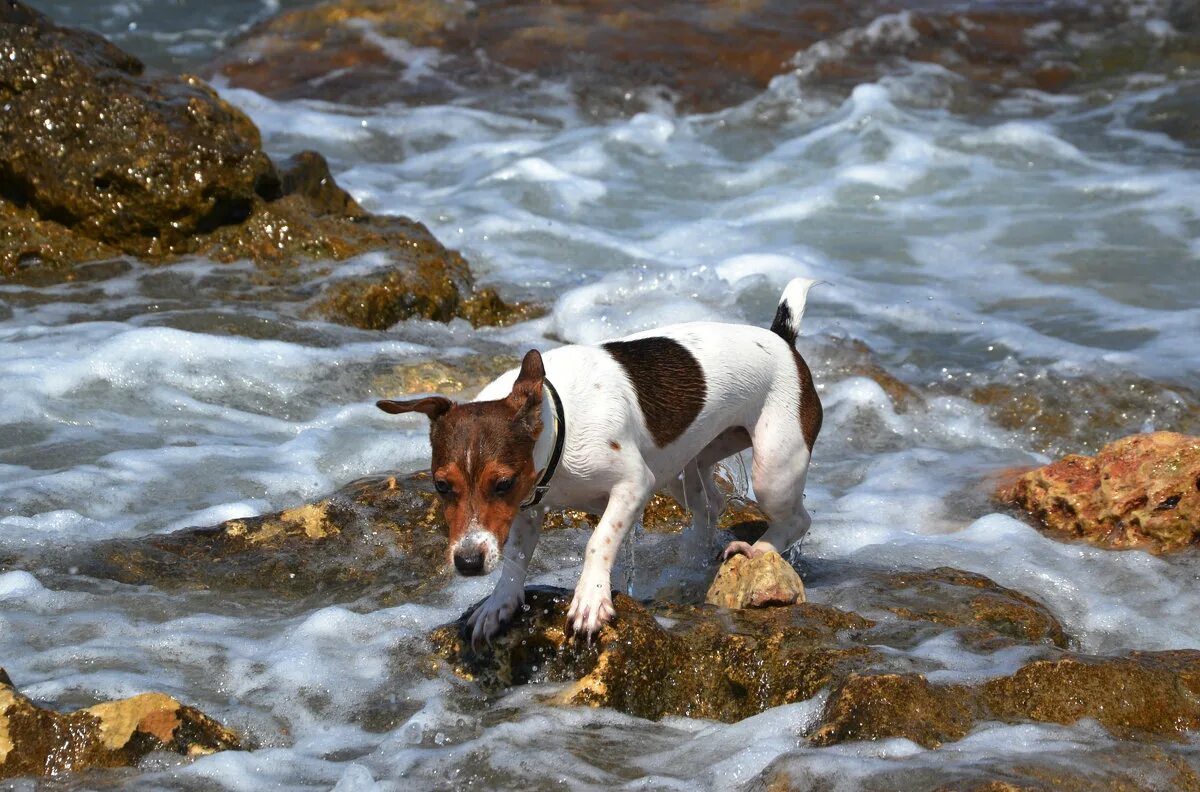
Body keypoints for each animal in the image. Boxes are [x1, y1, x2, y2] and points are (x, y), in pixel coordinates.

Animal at [379, 277, 820, 643]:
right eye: (441, 485)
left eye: (501, 483)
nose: (468, 563)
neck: (559, 422)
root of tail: (782, 340)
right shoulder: (526, 506)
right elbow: (516, 558)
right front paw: (499, 603)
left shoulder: (633, 484)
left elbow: (598, 541)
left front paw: (590, 598)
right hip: (686, 464)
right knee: (709, 504)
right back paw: (690, 556)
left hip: (772, 470)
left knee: (796, 519)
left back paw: (760, 549)